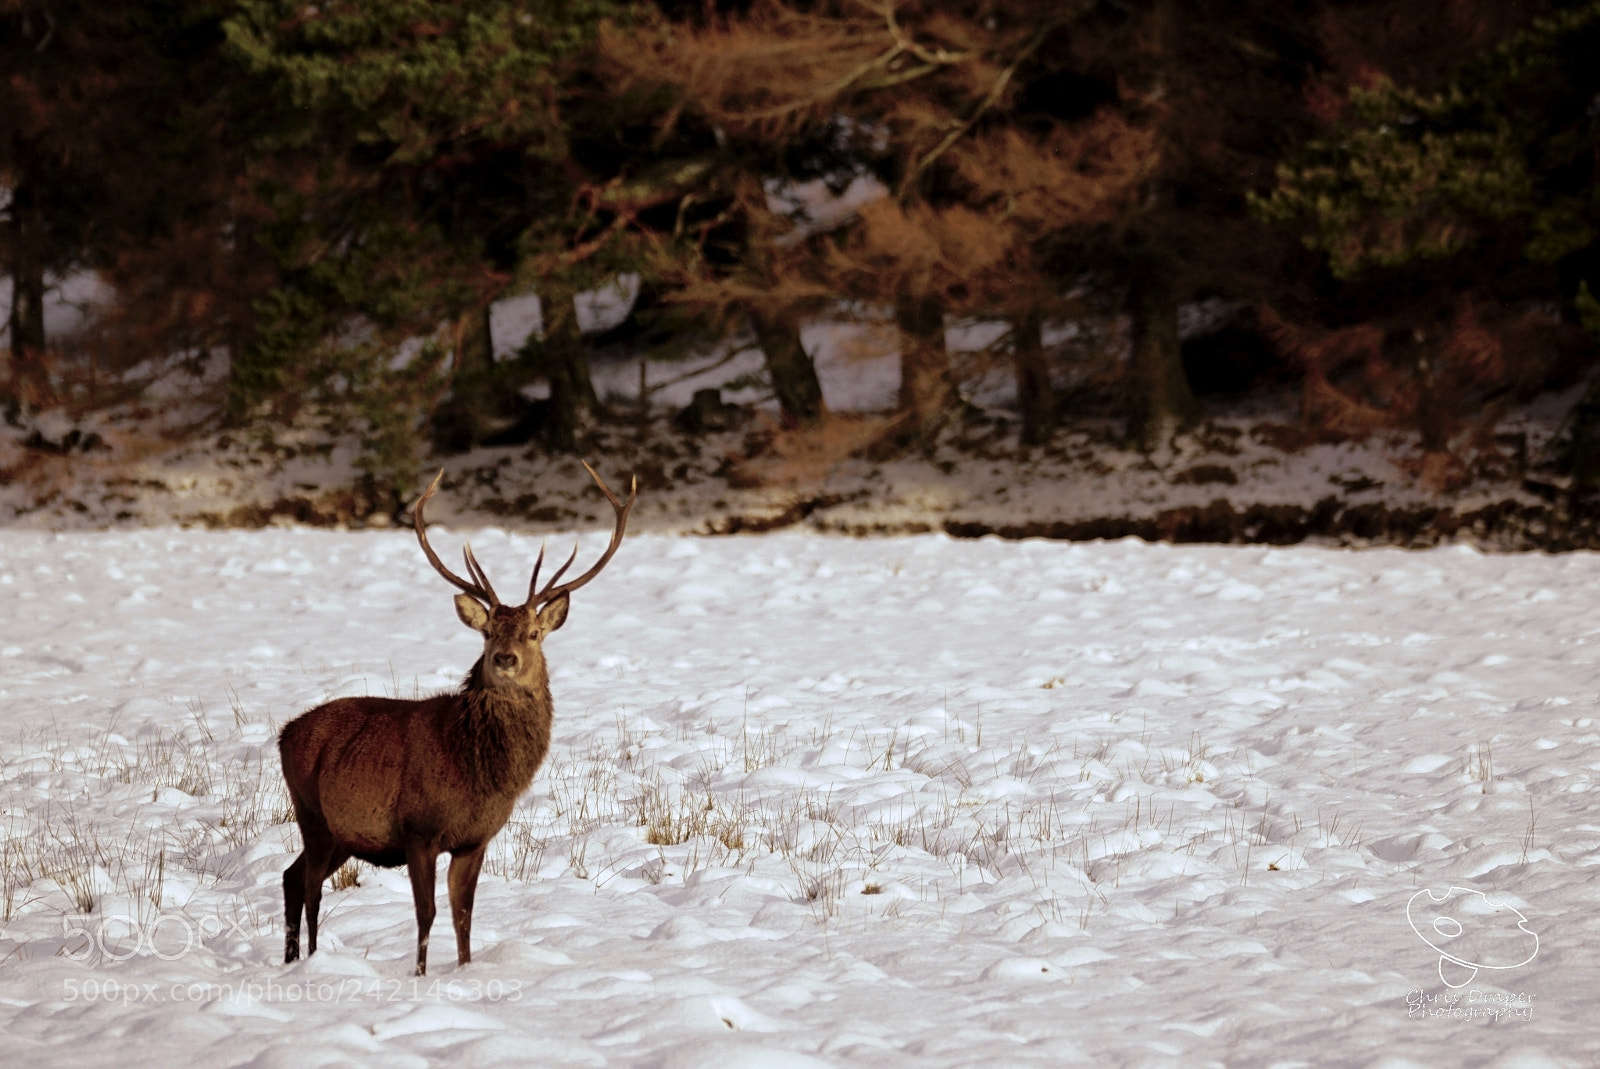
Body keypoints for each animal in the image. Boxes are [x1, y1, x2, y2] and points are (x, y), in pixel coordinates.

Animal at [278, 462, 636, 976]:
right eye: (488, 632)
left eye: (533, 633)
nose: (505, 658)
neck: (475, 768)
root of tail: (283, 734)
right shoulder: (418, 830)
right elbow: (426, 913)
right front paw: (421, 975)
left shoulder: (475, 839)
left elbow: (462, 913)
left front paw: (465, 970)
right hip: (312, 813)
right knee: (308, 887)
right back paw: (308, 960)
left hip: (343, 834)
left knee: (290, 876)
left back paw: (288, 960)